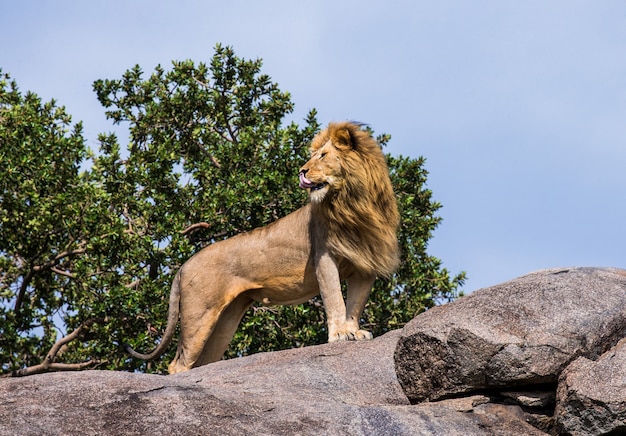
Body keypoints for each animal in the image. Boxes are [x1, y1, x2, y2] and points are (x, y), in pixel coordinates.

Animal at [123, 121, 398, 372]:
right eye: (314, 155)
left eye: (323, 155)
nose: (302, 170)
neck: (354, 202)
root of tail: (183, 266)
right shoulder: (325, 256)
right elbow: (334, 299)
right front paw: (340, 335)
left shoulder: (366, 266)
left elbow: (355, 304)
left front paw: (355, 332)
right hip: (199, 314)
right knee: (178, 364)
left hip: (225, 320)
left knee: (201, 362)